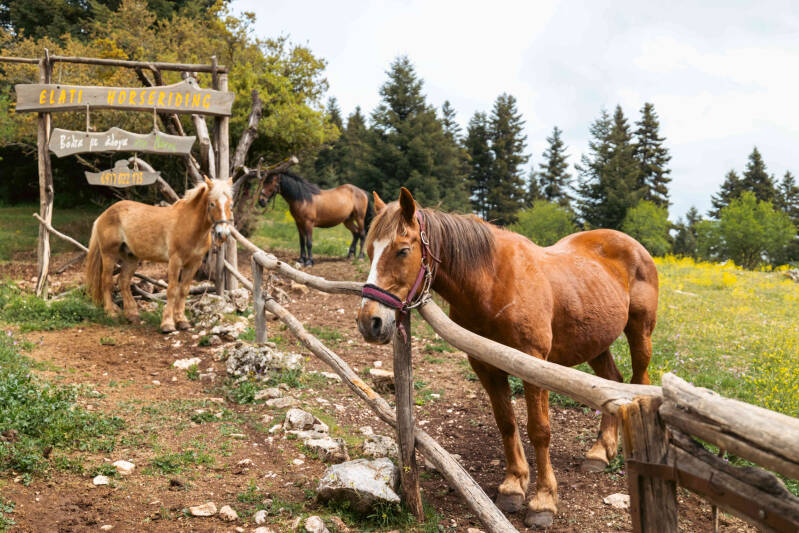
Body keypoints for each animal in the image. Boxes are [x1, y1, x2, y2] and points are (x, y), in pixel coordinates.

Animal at [86, 177, 233, 333]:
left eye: (230, 204)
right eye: (212, 203)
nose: (223, 234)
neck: (188, 224)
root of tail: (104, 214)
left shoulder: (194, 264)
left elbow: (184, 290)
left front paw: (182, 321)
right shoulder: (175, 261)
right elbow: (172, 290)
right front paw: (167, 324)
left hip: (131, 257)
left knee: (123, 281)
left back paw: (132, 315)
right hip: (109, 254)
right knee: (106, 281)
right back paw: (111, 313)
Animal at [356, 188, 658, 529]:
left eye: (403, 251)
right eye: (369, 250)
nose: (370, 322)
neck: (493, 282)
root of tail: (633, 245)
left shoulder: (533, 364)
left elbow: (539, 431)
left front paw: (543, 500)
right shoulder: (486, 366)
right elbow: (506, 423)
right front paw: (514, 485)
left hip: (640, 332)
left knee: (637, 380)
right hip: (595, 342)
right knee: (611, 380)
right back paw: (600, 451)